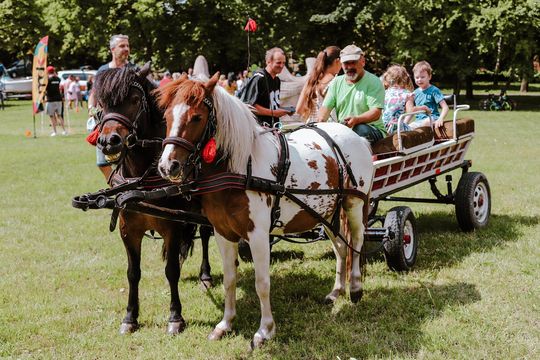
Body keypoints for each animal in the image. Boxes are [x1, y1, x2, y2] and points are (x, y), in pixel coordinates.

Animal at [158, 74, 374, 348]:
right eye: (166, 117)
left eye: (196, 117)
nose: (168, 166)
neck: (241, 167)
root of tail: (355, 136)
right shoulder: (222, 233)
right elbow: (229, 279)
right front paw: (225, 324)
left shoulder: (258, 235)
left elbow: (262, 283)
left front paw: (265, 331)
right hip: (326, 212)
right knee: (341, 248)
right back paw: (337, 291)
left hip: (354, 204)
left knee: (356, 241)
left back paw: (355, 288)